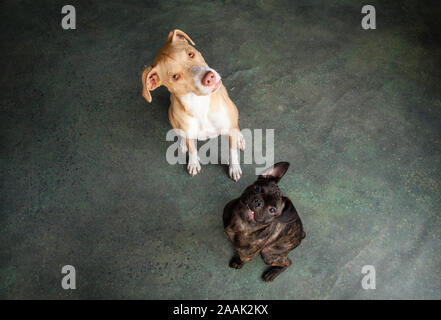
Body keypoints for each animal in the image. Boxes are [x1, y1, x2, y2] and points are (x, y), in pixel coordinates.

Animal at [141, 29, 244, 180]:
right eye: (175, 77)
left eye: (191, 54)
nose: (209, 77)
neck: (199, 104)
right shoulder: (187, 131)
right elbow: (192, 149)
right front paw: (194, 163)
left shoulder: (229, 129)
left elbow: (232, 151)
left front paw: (234, 168)